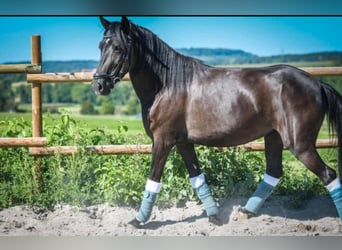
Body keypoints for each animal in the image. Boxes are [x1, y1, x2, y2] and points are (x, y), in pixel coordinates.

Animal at [92, 15, 342, 227]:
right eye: (101, 46)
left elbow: (153, 179)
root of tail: (318, 84)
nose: (99, 85)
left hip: (300, 144)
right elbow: (197, 177)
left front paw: (138, 220)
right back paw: (246, 211)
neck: (166, 84)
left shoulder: (163, 141)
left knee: (328, 175)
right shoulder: (183, 142)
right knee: (274, 172)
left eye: (118, 47)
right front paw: (214, 216)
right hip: (273, 138)